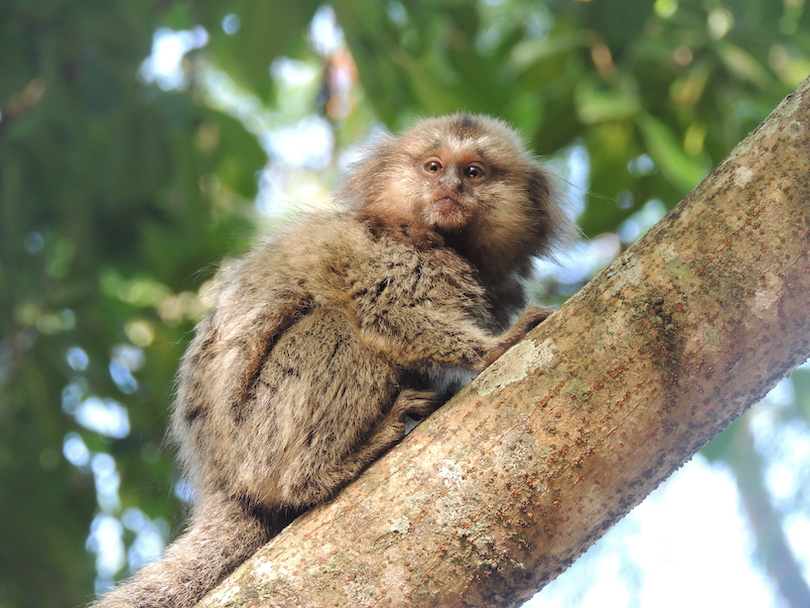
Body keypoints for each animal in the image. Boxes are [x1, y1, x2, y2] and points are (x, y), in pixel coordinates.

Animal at [94, 113, 572, 608]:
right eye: (434, 167)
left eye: (474, 173)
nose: (451, 188)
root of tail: (220, 477)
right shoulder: (393, 258)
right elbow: (389, 315)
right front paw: (494, 348)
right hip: (257, 438)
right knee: (339, 330)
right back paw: (323, 472)